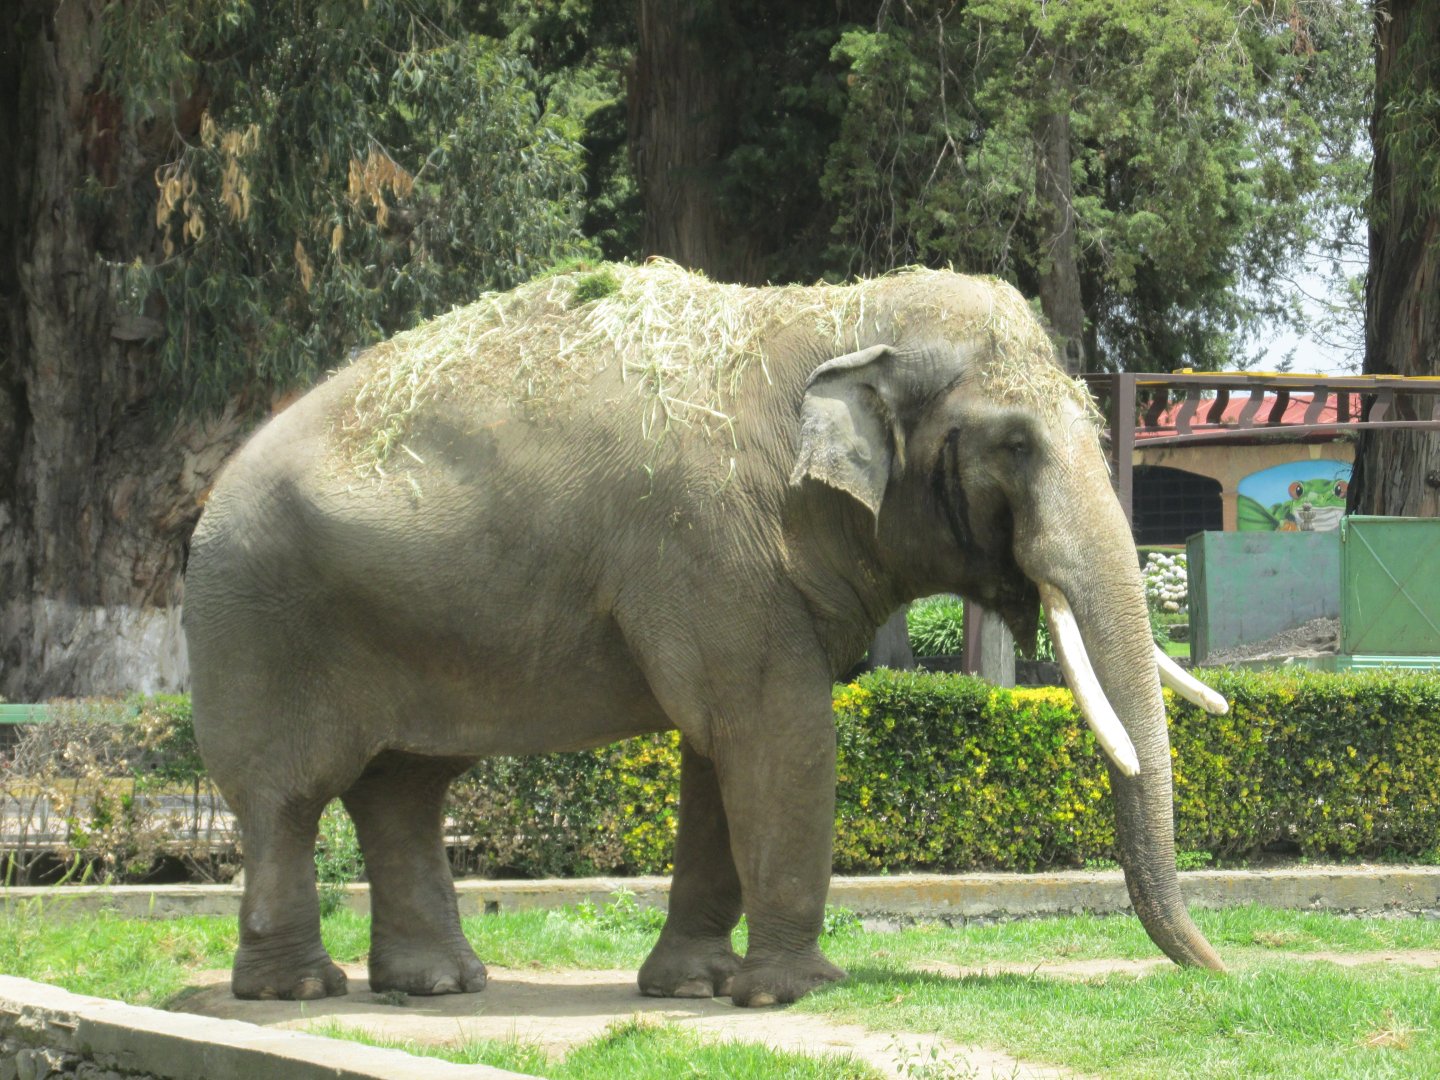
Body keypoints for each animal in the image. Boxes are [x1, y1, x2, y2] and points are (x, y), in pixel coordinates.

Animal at [184, 259, 1229, 1007]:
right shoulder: (712, 546)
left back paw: (438, 986)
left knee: (402, 787)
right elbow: (776, 729)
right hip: (258, 619)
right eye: (1014, 443)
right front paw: (791, 996)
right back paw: (297, 991)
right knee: (287, 797)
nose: (1222, 974)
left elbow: (718, 749)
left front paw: (696, 987)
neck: (835, 314)